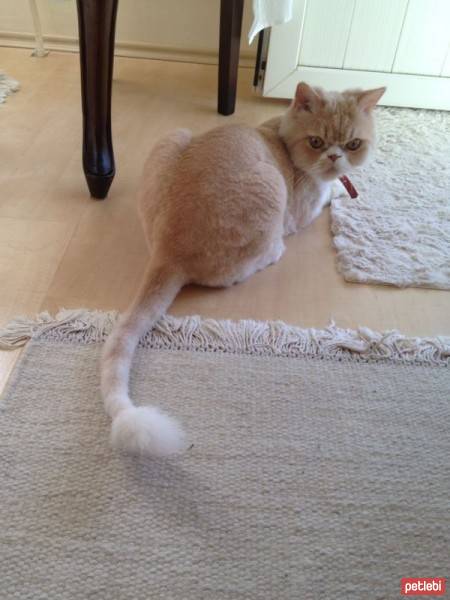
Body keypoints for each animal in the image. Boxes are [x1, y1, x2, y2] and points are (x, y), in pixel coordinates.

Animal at [100, 79, 384, 454]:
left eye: (352, 144)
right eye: (316, 142)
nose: (335, 158)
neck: (279, 134)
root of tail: (168, 249)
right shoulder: (306, 207)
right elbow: (328, 194)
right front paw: (338, 191)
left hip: (172, 137)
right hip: (271, 189)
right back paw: (275, 250)